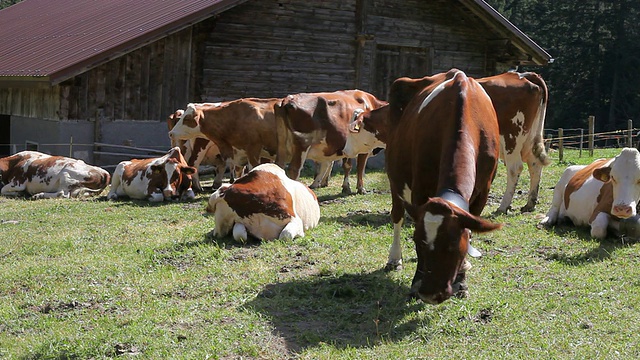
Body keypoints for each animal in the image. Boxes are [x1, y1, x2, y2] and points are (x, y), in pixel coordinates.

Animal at [382, 68, 502, 304]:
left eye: (453, 245)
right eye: (418, 241)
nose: (430, 293)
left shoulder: (483, 191)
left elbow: (471, 229)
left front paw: (462, 282)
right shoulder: (420, 188)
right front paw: (416, 283)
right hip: (395, 179)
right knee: (397, 216)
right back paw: (394, 258)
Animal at [478, 71, 552, 214]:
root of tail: (522, 75)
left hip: (512, 137)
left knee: (515, 168)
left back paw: (503, 206)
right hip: (530, 138)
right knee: (535, 164)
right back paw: (529, 204)